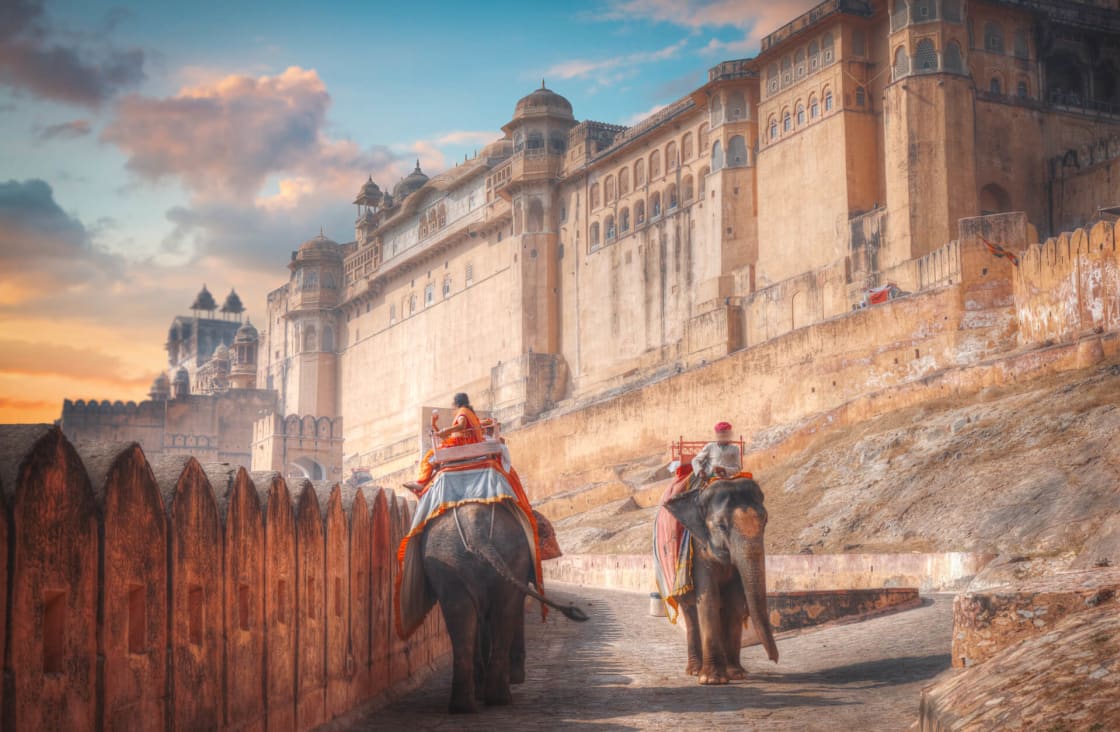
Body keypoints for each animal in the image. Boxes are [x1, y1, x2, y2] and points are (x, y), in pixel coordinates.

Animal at [412, 501, 586, 716]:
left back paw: (465, 706)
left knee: (459, 613)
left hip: (448, 559)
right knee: (506, 612)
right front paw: (515, 678)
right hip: (507, 556)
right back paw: (499, 698)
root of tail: (475, 529)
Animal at [663, 479, 779, 684]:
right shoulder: (698, 548)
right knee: (690, 612)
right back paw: (695, 671)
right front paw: (712, 680)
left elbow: (735, 601)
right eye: (721, 526)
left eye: (765, 521)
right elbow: (708, 597)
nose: (774, 659)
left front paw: (736, 674)